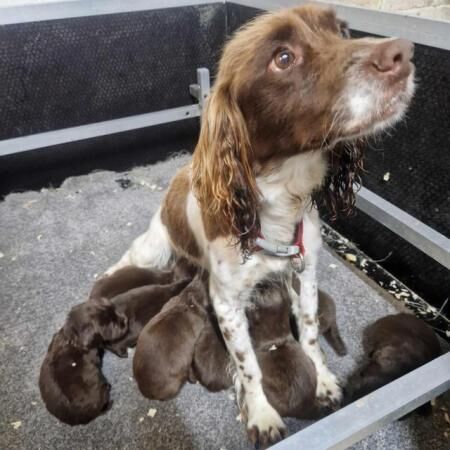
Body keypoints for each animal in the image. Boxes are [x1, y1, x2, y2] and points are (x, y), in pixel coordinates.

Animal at [106, 4, 414, 446]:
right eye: (282, 58)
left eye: (342, 30)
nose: (402, 53)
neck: (277, 203)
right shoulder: (227, 303)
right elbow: (249, 364)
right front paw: (262, 413)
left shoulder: (305, 274)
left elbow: (309, 331)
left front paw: (322, 379)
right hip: (153, 247)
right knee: (124, 262)